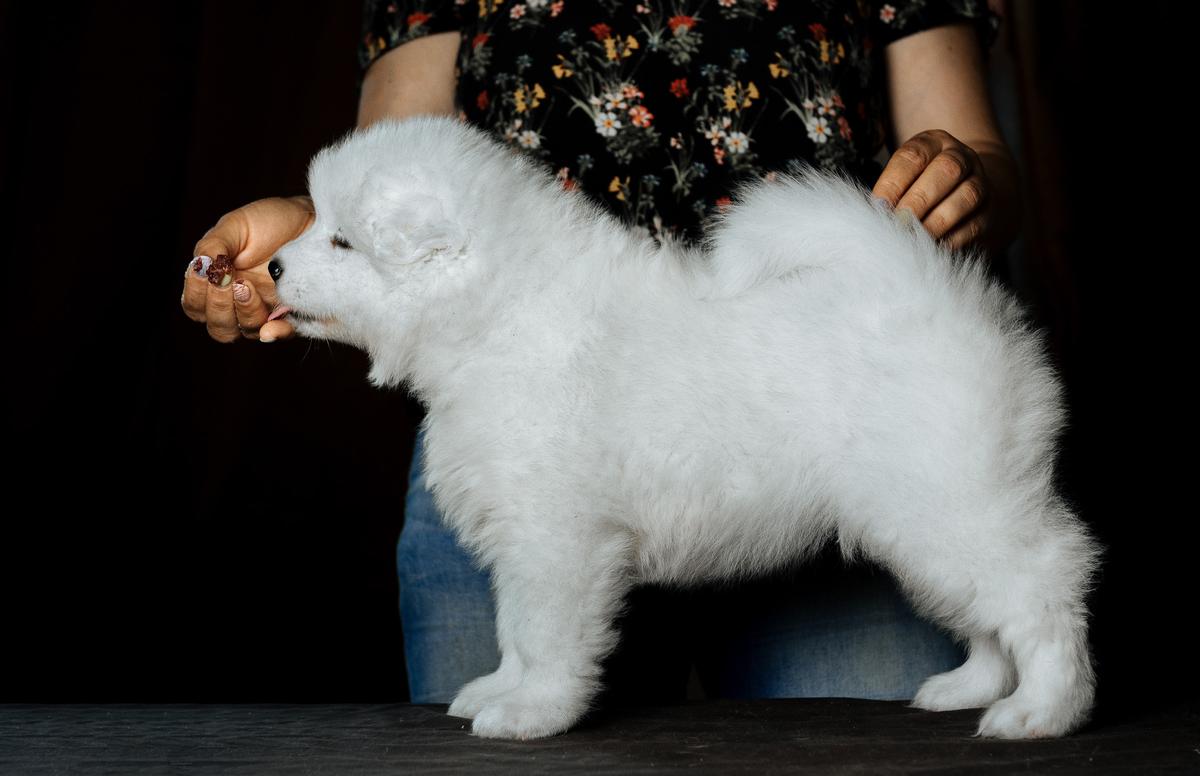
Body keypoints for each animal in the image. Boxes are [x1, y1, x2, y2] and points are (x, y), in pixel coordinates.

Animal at [276, 113, 1099, 738]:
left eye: (342, 241)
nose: (275, 268)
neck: (498, 314)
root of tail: (924, 287)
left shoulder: (557, 538)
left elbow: (543, 633)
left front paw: (532, 713)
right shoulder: (521, 536)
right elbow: (512, 629)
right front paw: (499, 690)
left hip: (949, 497)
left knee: (1040, 585)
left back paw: (1040, 711)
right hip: (925, 514)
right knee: (987, 609)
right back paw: (972, 687)